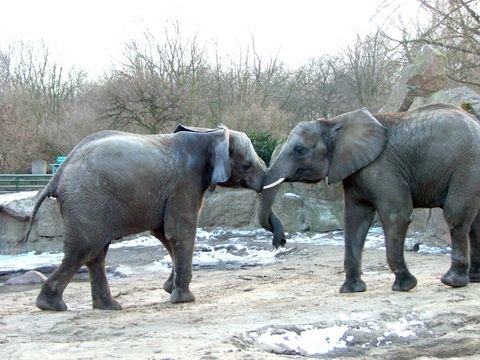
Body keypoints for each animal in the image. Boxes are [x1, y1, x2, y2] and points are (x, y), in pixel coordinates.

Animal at [22, 124, 264, 310]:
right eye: (247, 165)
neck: (208, 133)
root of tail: (57, 175)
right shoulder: (185, 183)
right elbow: (179, 231)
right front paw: (184, 299)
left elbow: (163, 233)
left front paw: (169, 288)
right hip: (86, 200)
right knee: (85, 249)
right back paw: (51, 306)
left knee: (96, 253)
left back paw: (108, 307)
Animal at [258, 103, 480, 292]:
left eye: (300, 150)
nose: (281, 242)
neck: (334, 123)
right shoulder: (355, 171)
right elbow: (355, 220)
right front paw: (351, 289)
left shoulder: (382, 167)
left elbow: (396, 216)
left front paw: (405, 285)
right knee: (475, 222)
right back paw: (474, 279)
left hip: (467, 165)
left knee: (456, 216)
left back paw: (452, 281)